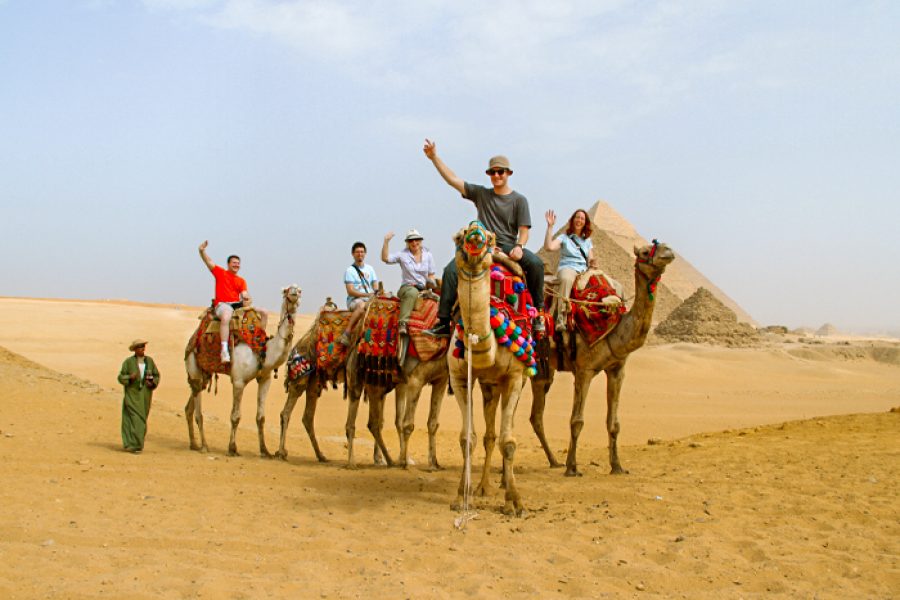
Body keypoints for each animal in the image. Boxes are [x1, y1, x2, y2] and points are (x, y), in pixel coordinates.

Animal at [184, 284, 302, 454]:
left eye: (299, 291)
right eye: (286, 291)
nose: (294, 294)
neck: (263, 351)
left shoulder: (265, 379)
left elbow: (261, 418)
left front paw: (265, 450)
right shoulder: (239, 381)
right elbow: (235, 416)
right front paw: (232, 448)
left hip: (204, 374)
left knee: (190, 405)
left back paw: (193, 444)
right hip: (193, 364)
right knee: (198, 411)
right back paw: (204, 446)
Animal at [448, 221, 528, 516]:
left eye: (491, 238)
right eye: (458, 237)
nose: (475, 236)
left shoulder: (514, 376)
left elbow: (509, 441)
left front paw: (515, 502)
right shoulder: (459, 376)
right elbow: (467, 438)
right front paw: (461, 496)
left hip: (513, 382)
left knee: (505, 430)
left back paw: (504, 483)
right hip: (489, 385)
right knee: (490, 434)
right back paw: (483, 486)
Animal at [528, 241, 676, 476]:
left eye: (663, 245)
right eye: (645, 252)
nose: (668, 252)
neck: (613, 326)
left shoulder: (617, 370)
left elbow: (613, 423)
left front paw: (617, 466)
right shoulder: (584, 370)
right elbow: (577, 421)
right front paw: (572, 467)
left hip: (542, 368)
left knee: (536, 415)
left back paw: (553, 461)